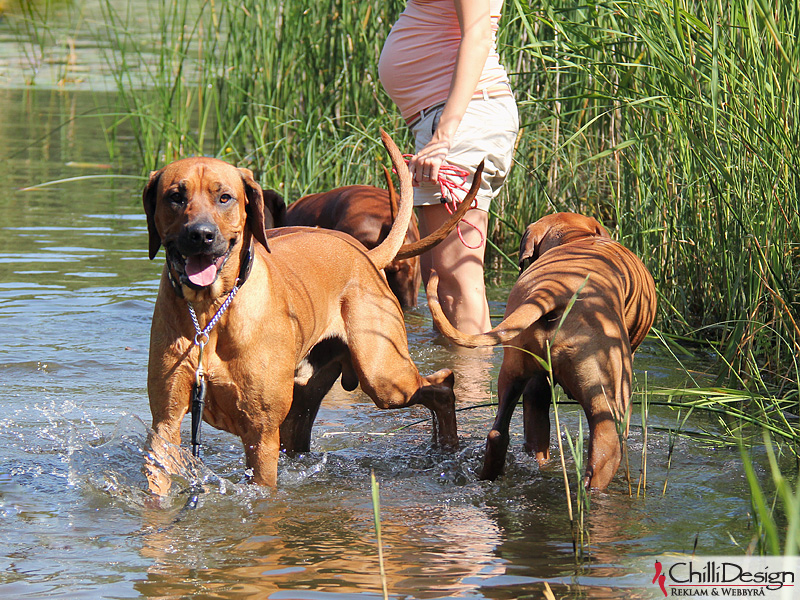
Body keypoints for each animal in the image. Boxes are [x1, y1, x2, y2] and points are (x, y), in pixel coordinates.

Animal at [142, 134, 476, 494]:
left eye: (224, 198)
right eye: (176, 196)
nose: (201, 235)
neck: (210, 313)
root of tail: (366, 253)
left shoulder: (260, 433)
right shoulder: (165, 422)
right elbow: (156, 485)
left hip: (383, 375)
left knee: (442, 386)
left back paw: (447, 447)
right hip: (307, 398)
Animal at [424, 213, 656, 490]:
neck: (575, 237)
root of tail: (552, 290)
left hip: (516, 375)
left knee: (499, 435)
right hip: (610, 401)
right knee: (602, 457)